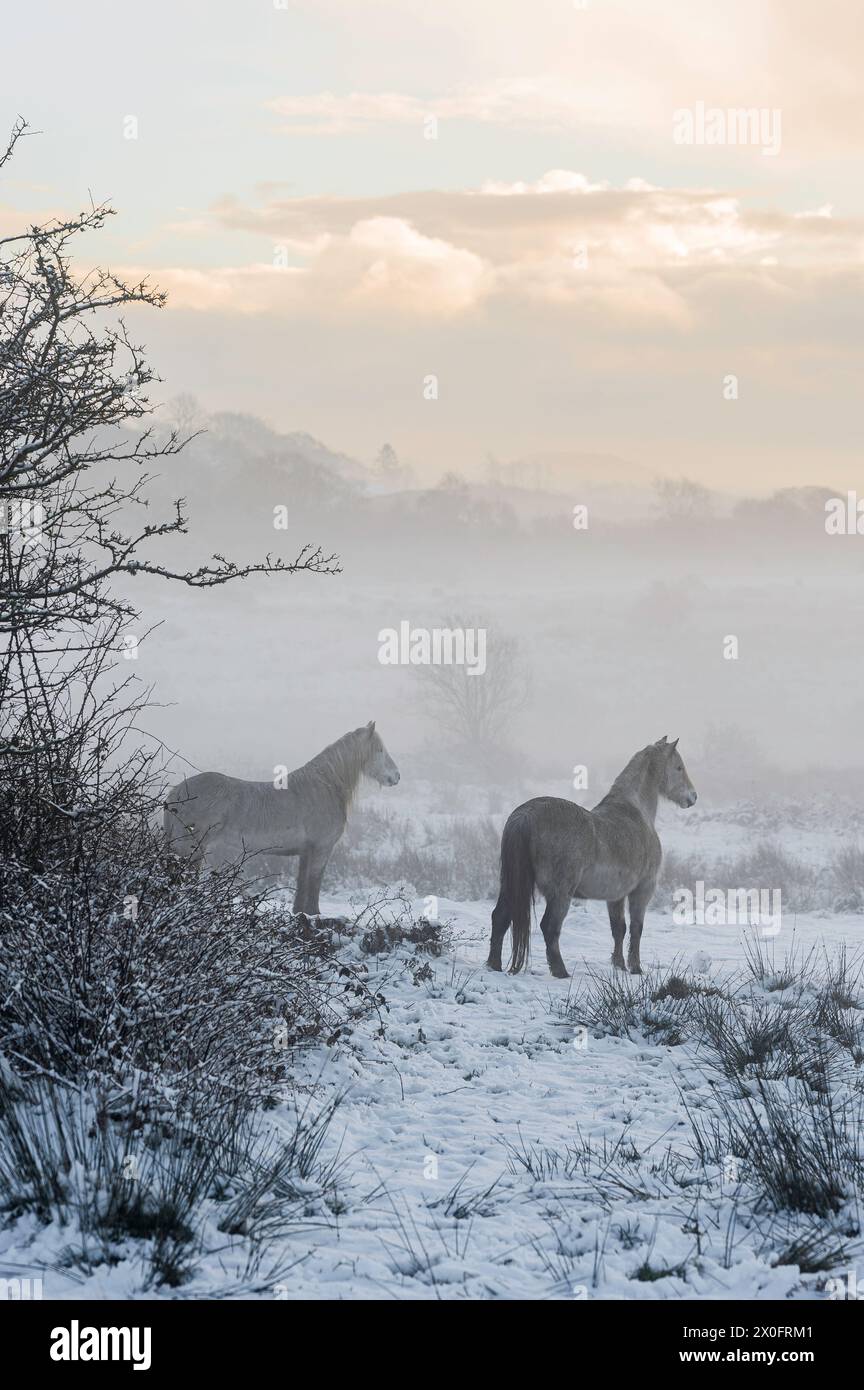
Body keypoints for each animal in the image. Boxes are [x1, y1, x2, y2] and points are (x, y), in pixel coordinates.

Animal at [163, 722, 400, 917]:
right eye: (379, 750)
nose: (396, 777)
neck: (325, 787)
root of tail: (176, 792)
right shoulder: (321, 848)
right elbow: (315, 881)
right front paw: (315, 914)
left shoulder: (306, 851)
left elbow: (302, 882)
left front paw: (301, 914)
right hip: (189, 848)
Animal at [488, 739, 697, 978]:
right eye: (679, 767)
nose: (693, 797)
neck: (636, 812)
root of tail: (524, 816)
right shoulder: (643, 889)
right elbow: (636, 928)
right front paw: (635, 968)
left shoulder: (616, 895)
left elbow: (618, 929)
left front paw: (619, 965)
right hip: (560, 894)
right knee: (549, 927)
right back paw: (561, 972)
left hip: (511, 884)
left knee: (500, 918)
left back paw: (493, 965)